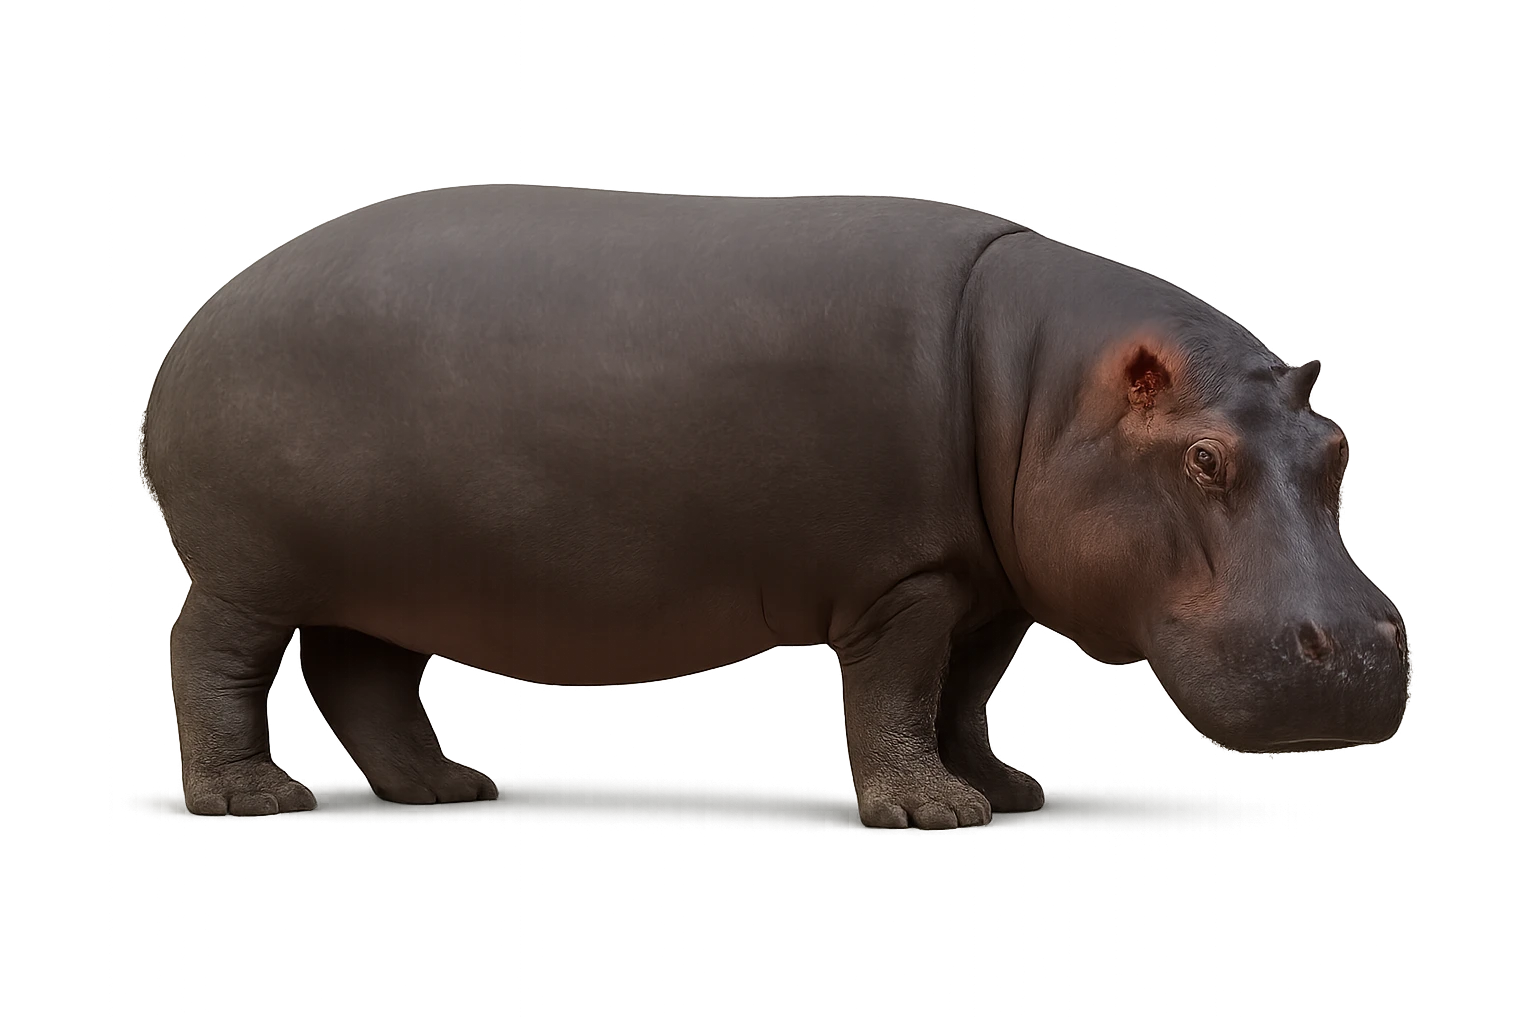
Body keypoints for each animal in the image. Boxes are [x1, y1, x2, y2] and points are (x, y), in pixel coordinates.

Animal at [138, 183, 1411, 828]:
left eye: (1339, 446)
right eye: (1200, 458)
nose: (1353, 649)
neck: (1046, 384)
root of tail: (204, 311)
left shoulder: (986, 583)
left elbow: (965, 693)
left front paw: (1007, 794)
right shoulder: (902, 579)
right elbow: (897, 692)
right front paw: (931, 813)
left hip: (387, 577)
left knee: (361, 674)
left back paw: (447, 787)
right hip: (249, 571)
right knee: (211, 653)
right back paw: (252, 798)